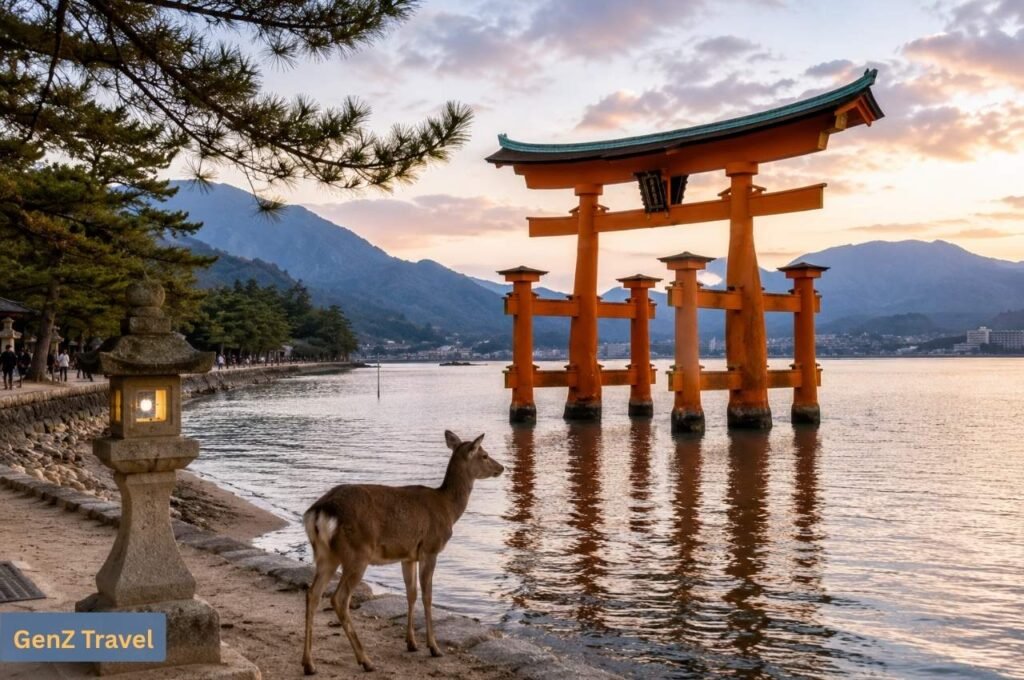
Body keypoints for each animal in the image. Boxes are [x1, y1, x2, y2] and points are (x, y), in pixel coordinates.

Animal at [301, 430, 504, 674]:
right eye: (484, 455)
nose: (502, 468)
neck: (448, 508)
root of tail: (319, 512)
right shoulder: (430, 548)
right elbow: (427, 596)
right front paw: (434, 647)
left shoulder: (408, 556)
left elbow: (411, 593)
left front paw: (411, 643)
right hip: (358, 553)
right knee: (338, 599)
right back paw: (366, 660)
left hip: (325, 554)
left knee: (312, 594)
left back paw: (309, 664)